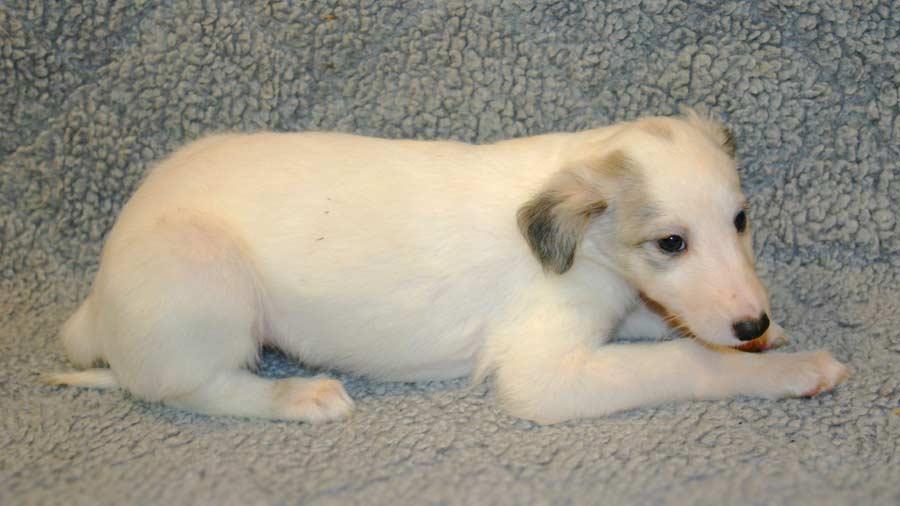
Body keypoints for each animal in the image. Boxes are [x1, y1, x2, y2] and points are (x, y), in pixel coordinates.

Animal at [45, 110, 852, 422]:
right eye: (671, 243)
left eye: (740, 221)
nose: (753, 319)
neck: (581, 247)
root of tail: (98, 301)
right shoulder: (544, 375)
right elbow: (688, 360)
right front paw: (788, 367)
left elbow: (671, 326)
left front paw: (766, 339)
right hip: (203, 273)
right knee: (193, 386)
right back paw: (298, 396)